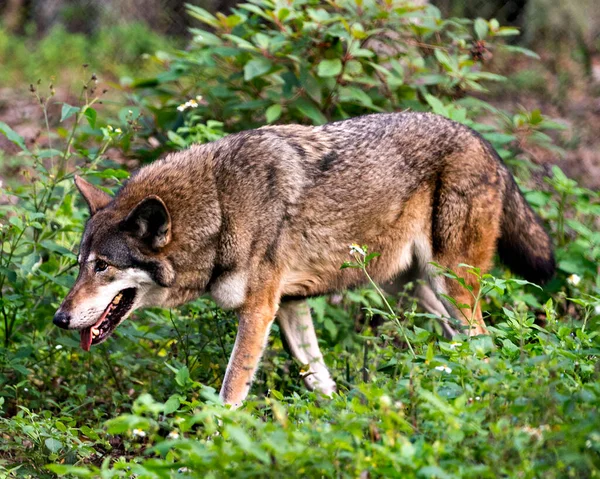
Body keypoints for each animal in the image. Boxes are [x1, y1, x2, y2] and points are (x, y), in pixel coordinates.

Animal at [54, 113, 556, 408]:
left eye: (102, 266)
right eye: (80, 263)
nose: (59, 319)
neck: (220, 206)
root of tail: (482, 140)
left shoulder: (259, 309)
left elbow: (231, 391)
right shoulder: (290, 305)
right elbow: (319, 378)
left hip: (449, 284)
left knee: (483, 343)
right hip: (417, 292)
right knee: (460, 346)